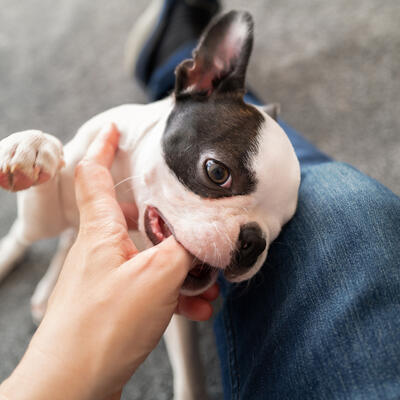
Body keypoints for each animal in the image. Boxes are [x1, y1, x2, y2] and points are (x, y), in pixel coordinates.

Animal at [0, 10, 300, 400]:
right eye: (217, 172)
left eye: (281, 226)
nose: (253, 241)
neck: (126, 193)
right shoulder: (58, 197)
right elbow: (48, 171)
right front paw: (33, 146)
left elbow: (188, 368)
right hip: (39, 224)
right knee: (27, 235)